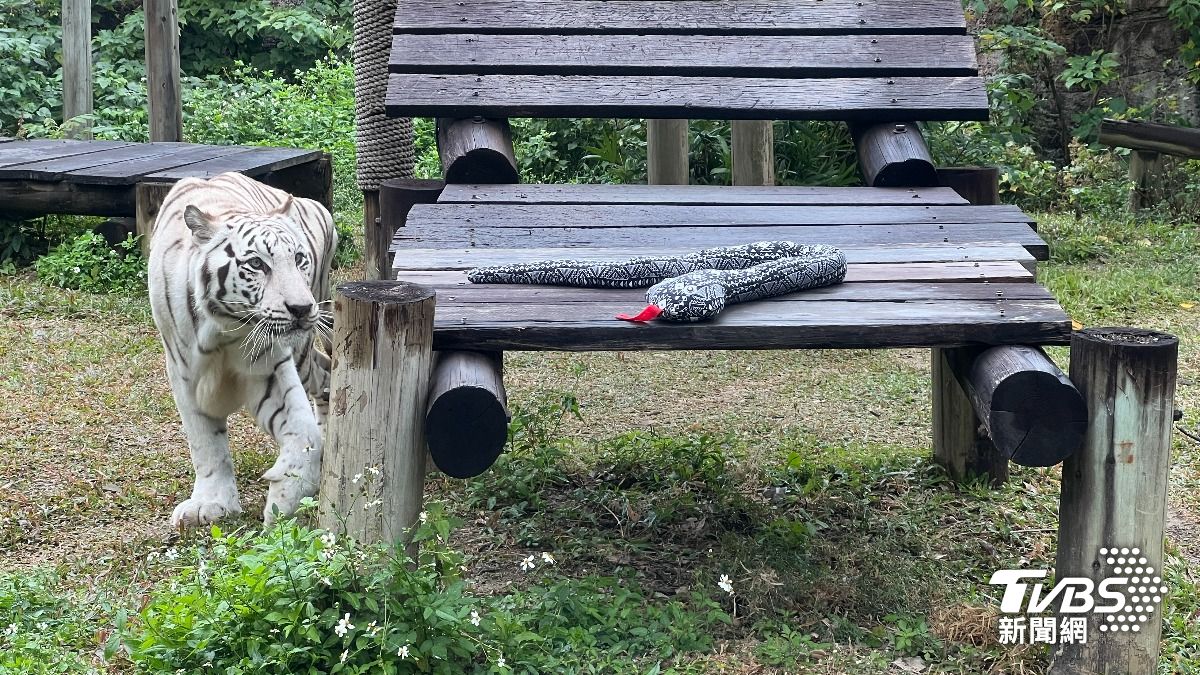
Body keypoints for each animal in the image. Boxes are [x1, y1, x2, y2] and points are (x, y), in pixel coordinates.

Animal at [148, 171, 336, 528]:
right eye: (257, 264)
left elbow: (304, 436)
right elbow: (205, 442)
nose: (301, 308)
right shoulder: (183, 373)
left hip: (303, 350)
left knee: (327, 372)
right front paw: (211, 503)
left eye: (298, 259)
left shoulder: (268, 366)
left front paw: (284, 503)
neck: (223, 330)